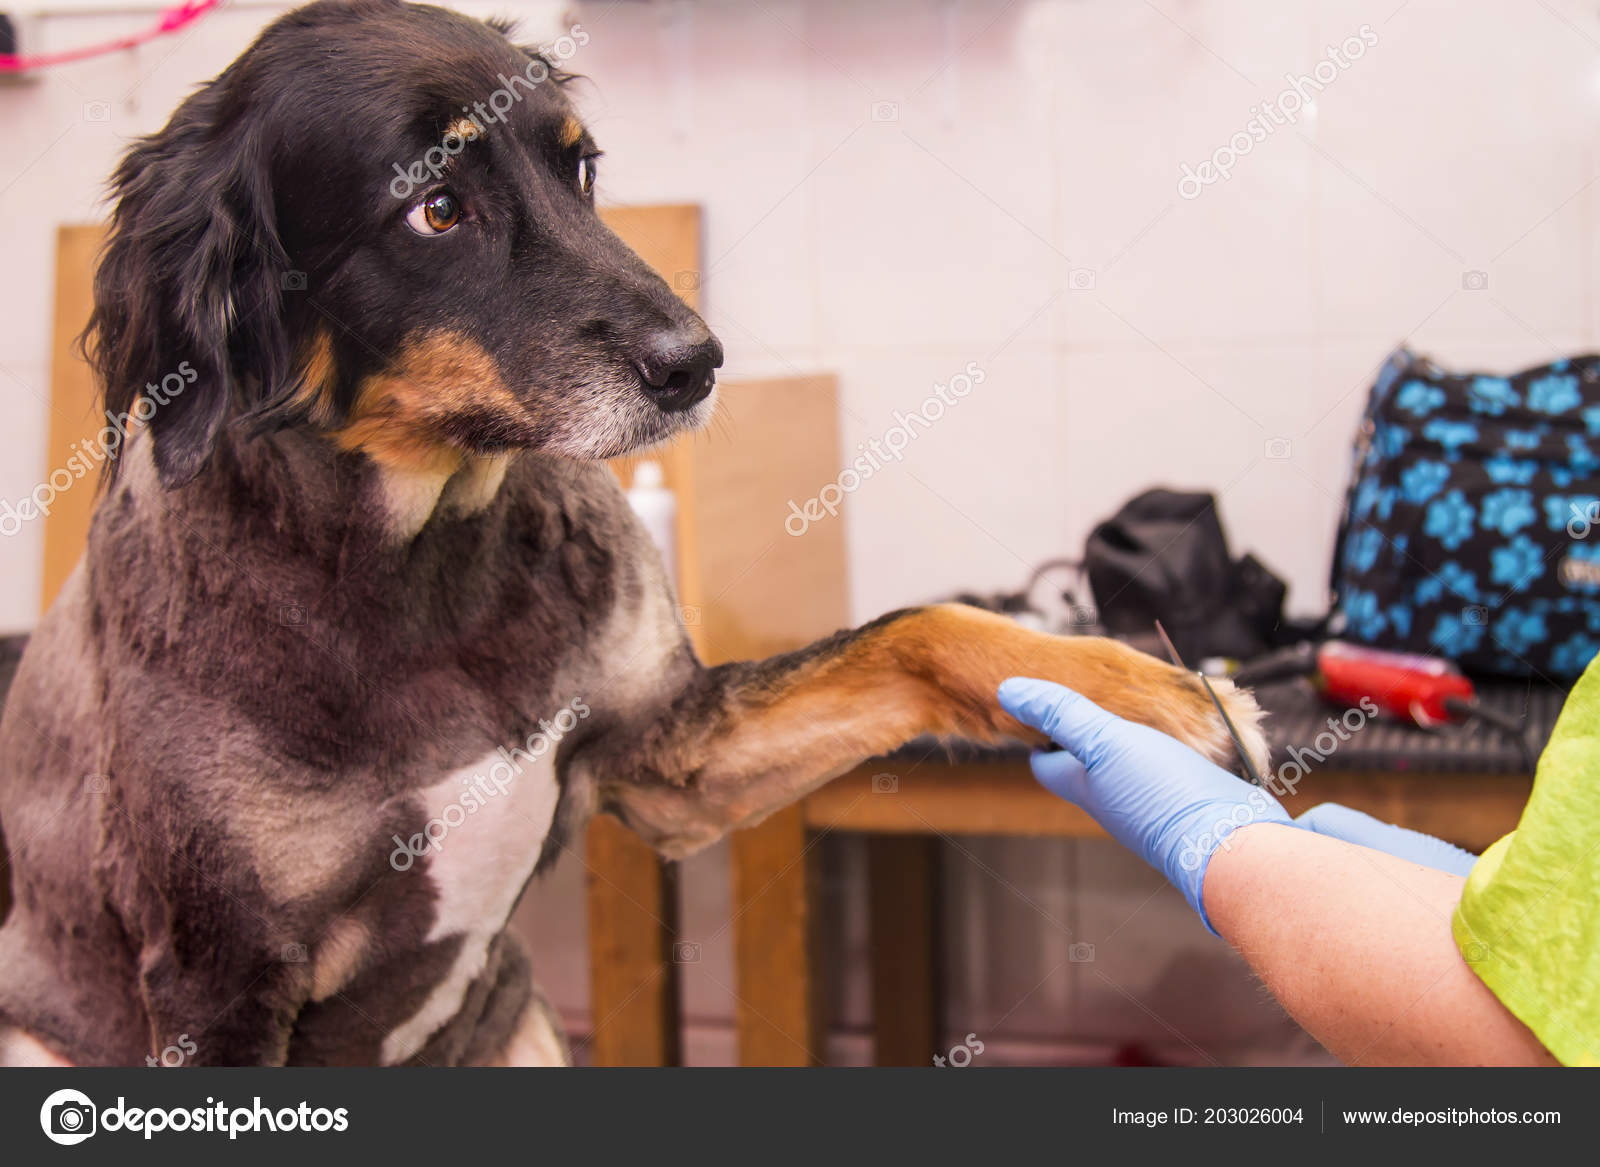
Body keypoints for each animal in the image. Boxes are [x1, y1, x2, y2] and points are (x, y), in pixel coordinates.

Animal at [0, 0, 1260, 1062]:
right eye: (436, 208)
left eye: (578, 167)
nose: (698, 363)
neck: (417, 567)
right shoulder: (217, 983)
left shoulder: (672, 755)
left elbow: (917, 629)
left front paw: (1139, 692)